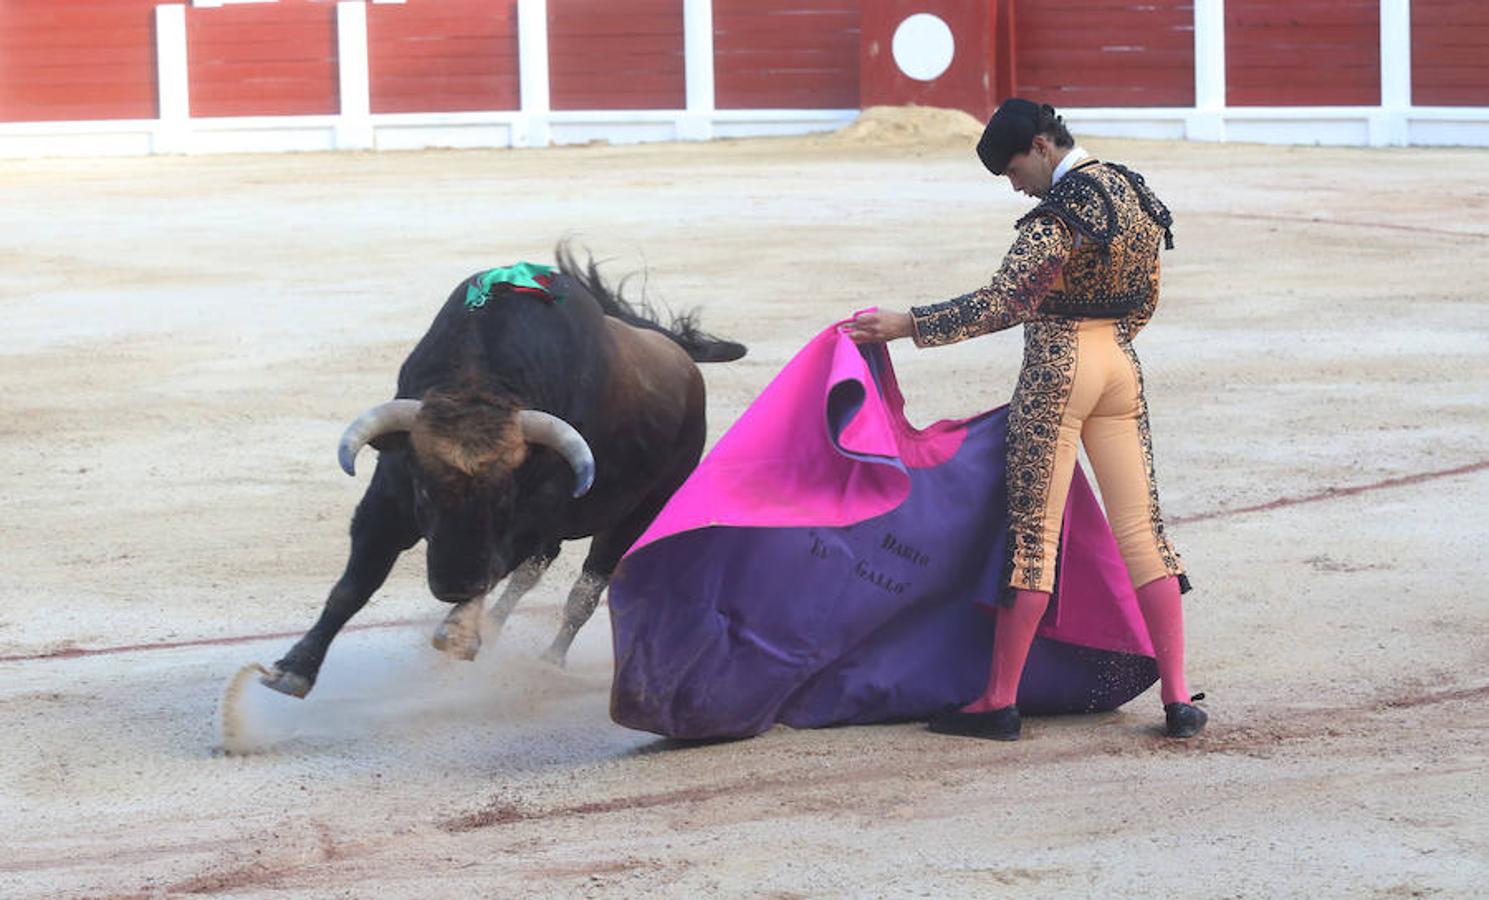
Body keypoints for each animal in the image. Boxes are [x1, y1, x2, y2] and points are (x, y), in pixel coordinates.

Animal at [259, 250, 744, 700]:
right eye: (423, 493)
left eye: (504, 499)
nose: (452, 586)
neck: (478, 384)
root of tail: (681, 360)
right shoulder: (386, 505)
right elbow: (352, 587)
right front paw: (293, 669)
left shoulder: (529, 520)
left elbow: (494, 566)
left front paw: (456, 631)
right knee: (531, 575)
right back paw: (491, 631)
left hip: (640, 512)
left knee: (585, 591)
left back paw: (547, 661)